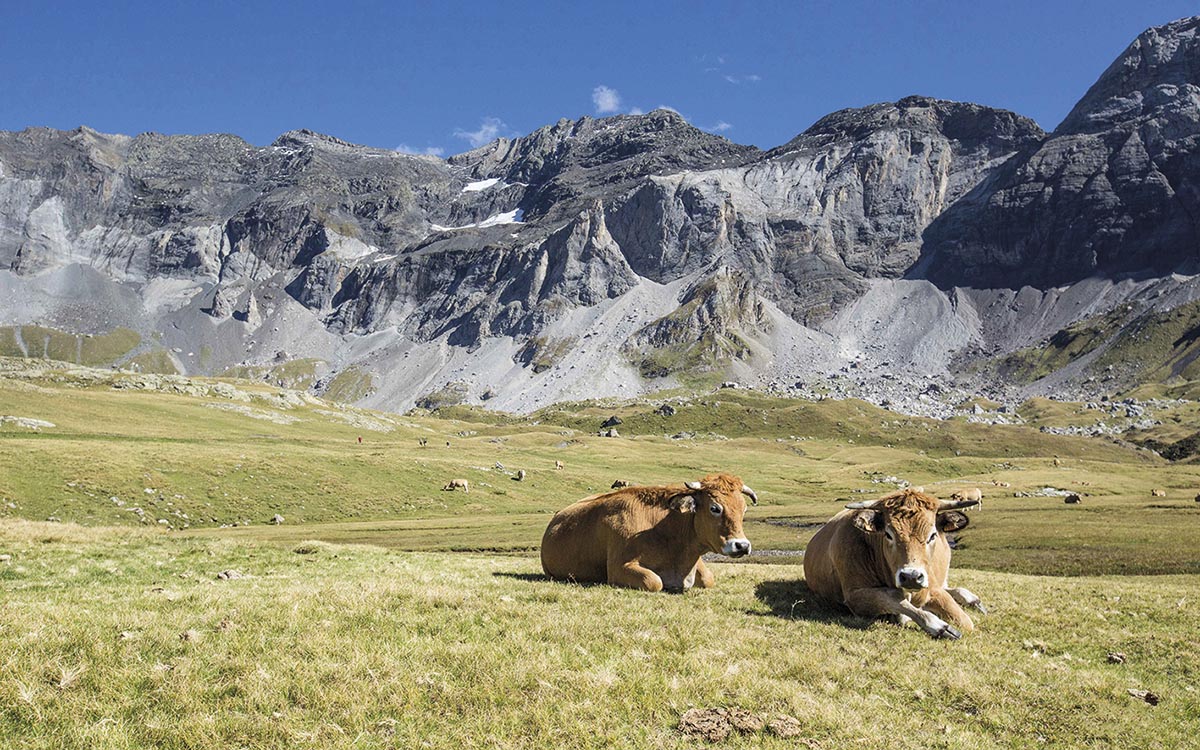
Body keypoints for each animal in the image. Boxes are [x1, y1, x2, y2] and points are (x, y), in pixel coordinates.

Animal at [544, 472, 758, 590]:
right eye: (715, 508)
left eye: (744, 509)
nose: (742, 545)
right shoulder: (618, 567)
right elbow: (654, 581)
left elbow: (708, 579)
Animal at [806, 489, 984, 638]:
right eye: (888, 534)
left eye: (933, 535)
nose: (911, 576)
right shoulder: (854, 595)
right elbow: (892, 597)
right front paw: (936, 624)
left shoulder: (932, 589)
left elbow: (965, 622)